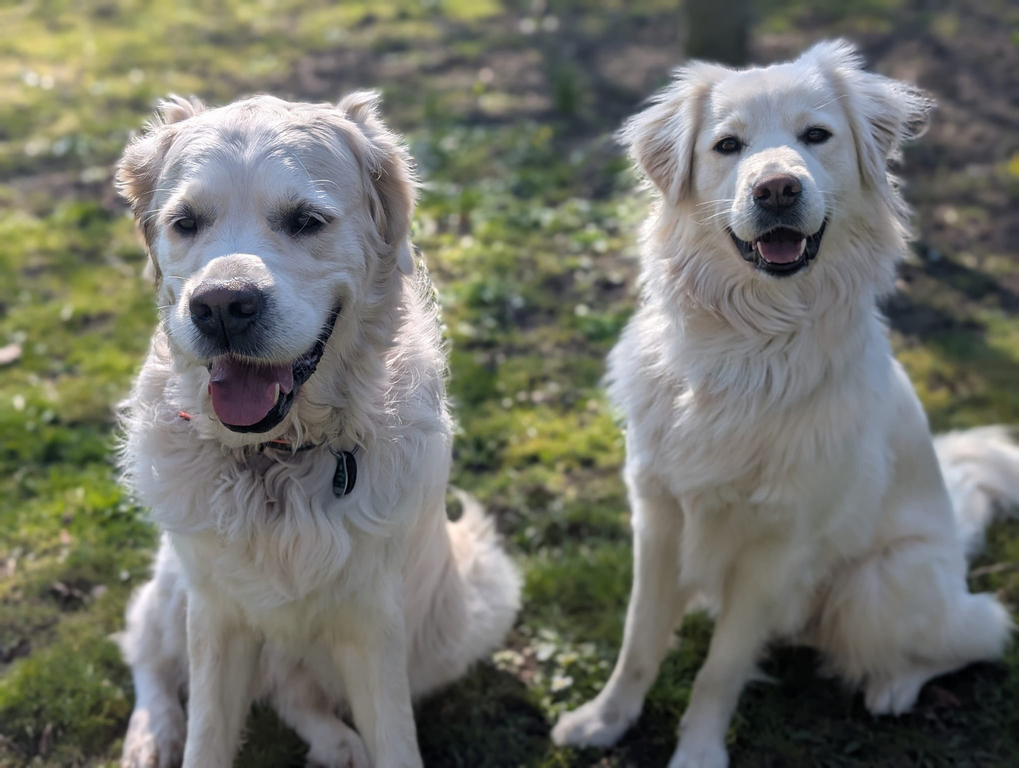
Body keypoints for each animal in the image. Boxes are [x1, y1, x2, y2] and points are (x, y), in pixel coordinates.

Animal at [114, 93, 520, 768]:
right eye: (186, 222)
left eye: (306, 221)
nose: (221, 307)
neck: (277, 457)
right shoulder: (214, 613)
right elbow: (205, 734)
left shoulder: (374, 622)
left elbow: (394, 739)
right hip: (176, 584)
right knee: (145, 647)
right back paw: (153, 733)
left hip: (468, 612)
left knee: (294, 694)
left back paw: (337, 742)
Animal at [552, 41, 1018, 767]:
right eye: (727, 145)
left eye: (815, 136)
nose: (776, 188)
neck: (747, 344)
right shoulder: (656, 519)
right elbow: (636, 642)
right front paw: (604, 720)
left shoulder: (774, 549)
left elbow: (719, 671)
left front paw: (697, 752)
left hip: (876, 587)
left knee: (981, 629)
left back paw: (893, 686)